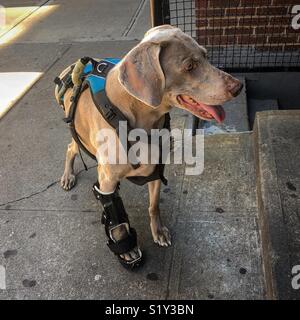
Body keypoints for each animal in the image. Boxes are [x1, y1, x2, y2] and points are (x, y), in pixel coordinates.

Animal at [55, 25, 243, 268]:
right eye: (189, 66)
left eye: (206, 55)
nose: (238, 87)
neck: (140, 118)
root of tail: (68, 70)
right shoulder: (107, 179)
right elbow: (116, 218)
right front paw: (126, 248)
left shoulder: (156, 167)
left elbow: (154, 205)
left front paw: (159, 231)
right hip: (82, 137)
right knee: (71, 147)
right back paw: (67, 176)